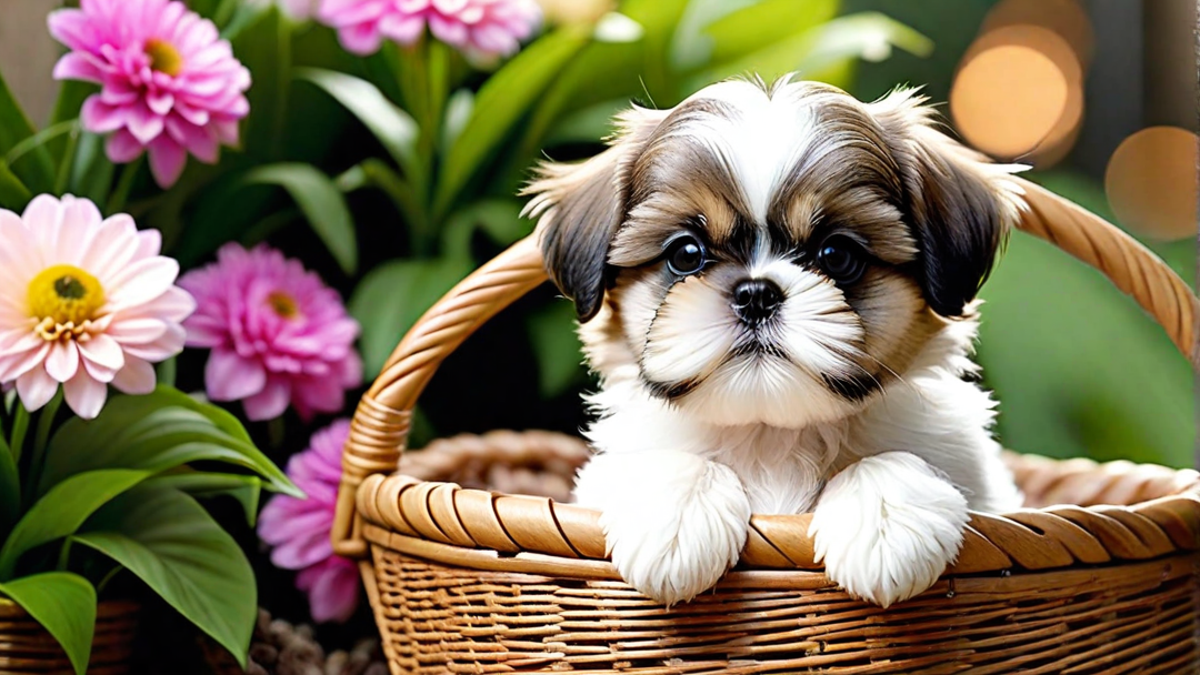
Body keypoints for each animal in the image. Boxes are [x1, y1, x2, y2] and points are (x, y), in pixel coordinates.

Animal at [523, 76, 1022, 607]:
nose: (756, 294)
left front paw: (886, 517)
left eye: (836, 254)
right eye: (686, 254)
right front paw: (674, 515)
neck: (773, 434)